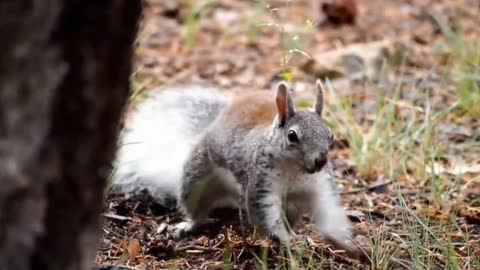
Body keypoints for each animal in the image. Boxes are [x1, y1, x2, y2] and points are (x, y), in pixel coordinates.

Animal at [111, 80, 360, 260]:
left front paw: (346, 243)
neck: (295, 171)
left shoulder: (320, 187)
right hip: (196, 179)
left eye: (330, 135)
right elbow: (267, 217)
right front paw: (286, 243)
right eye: (292, 136)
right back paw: (187, 225)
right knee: (197, 211)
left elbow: (329, 213)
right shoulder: (261, 184)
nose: (320, 160)